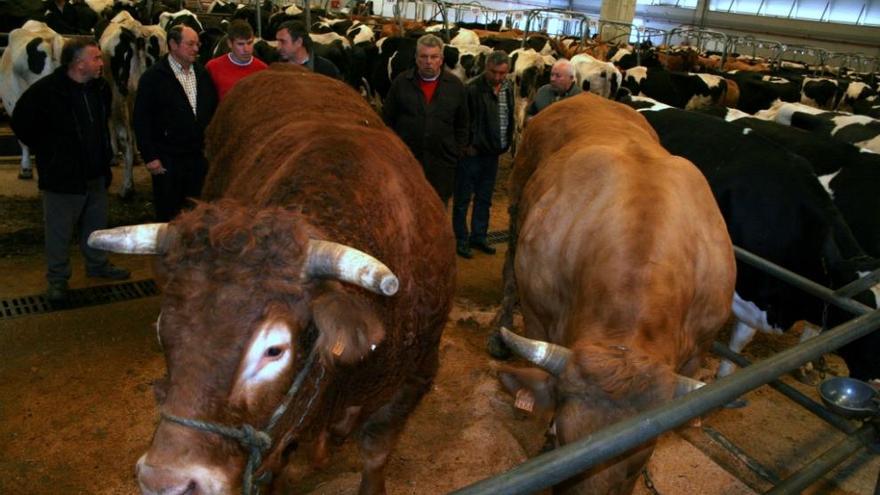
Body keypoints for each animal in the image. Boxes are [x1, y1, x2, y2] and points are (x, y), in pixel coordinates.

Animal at [492, 93, 732, 495]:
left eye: (640, 461)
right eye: (556, 434)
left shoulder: (697, 351)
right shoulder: (539, 316)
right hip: (516, 203)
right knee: (509, 269)